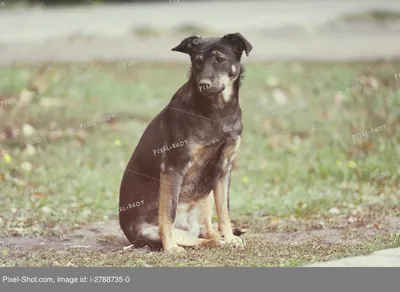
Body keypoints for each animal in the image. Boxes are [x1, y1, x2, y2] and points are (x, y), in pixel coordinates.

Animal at [118, 31, 253, 251]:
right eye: (198, 62)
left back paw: (220, 238)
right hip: (150, 230)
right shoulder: (174, 168)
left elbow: (224, 211)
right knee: (189, 237)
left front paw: (231, 237)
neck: (217, 111)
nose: (203, 84)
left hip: (206, 192)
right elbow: (168, 215)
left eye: (220, 59)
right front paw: (171, 249)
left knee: (205, 228)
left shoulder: (224, 167)